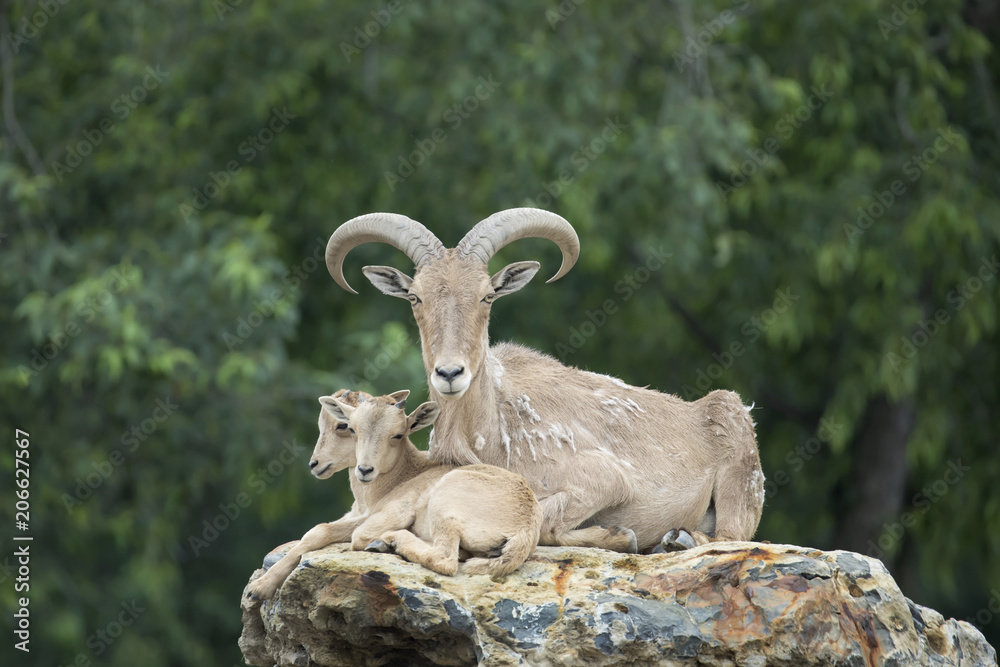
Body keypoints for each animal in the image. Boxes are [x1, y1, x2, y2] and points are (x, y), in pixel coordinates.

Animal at [243, 389, 542, 604]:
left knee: (445, 558)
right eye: (353, 429)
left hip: (445, 503)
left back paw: (391, 541)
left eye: (398, 434)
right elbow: (314, 534)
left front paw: (258, 588)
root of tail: (525, 528)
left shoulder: (393, 511)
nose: (365, 470)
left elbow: (337, 533)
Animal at [324, 208, 766, 554]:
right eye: (415, 297)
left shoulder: (605, 479)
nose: (449, 373)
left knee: (729, 535)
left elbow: (547, 520)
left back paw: (679, 539)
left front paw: (623, 536)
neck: (489, 438)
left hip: (738, 484)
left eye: (487, 295)